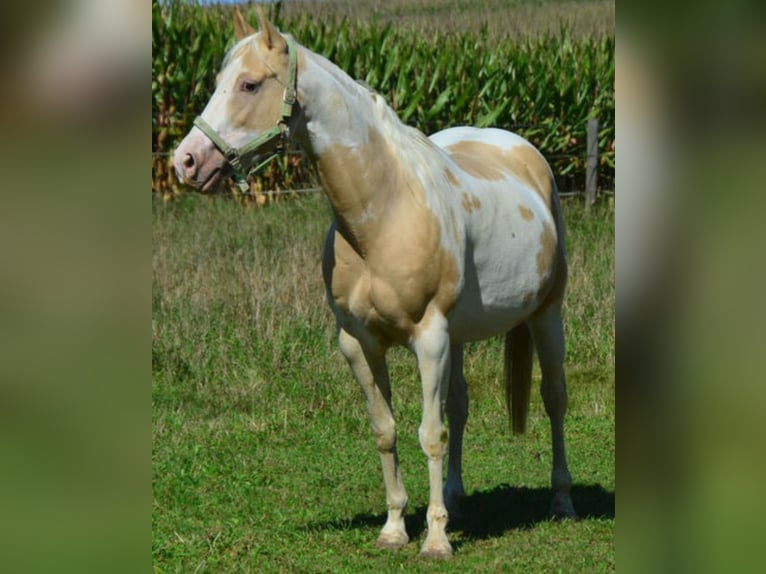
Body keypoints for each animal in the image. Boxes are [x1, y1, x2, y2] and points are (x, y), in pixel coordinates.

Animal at [174, 8, 575, 557]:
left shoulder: (429, 338)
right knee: (461, 407)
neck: (383, 213)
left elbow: (430, 433)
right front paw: (395, 528)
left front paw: (435, 541)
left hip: (546, 314)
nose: (186, 161)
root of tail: (523, 152)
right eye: (217, 83)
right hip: (462, 335)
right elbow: (387, 430)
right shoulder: (359, 343)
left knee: (554, 399)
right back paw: (456, 498)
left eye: (250, 84)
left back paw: (561, 501)